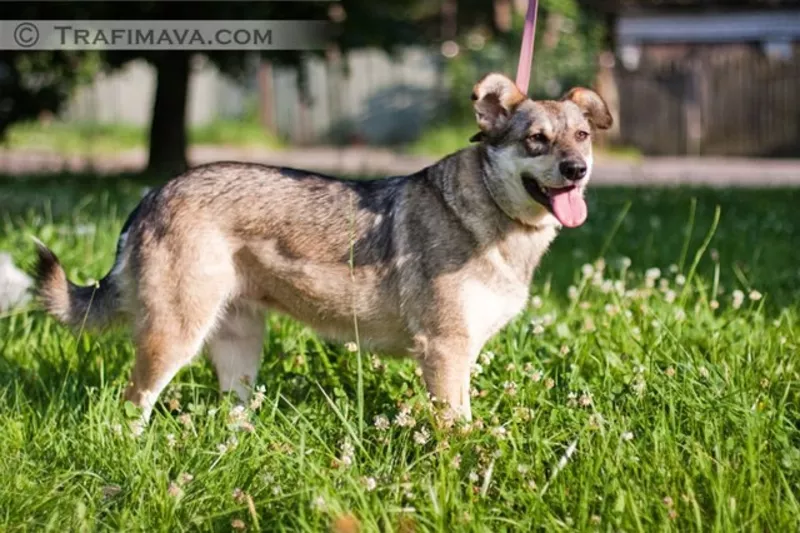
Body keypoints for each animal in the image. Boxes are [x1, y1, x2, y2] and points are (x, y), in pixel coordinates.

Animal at [34, 72, 612, 422]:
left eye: (582, 136)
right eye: (535, 140)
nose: (577, 171)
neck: (493, 219)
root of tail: (152, 195)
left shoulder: (460, 355)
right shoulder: (444, 352)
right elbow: (459, 433)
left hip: (238, 350)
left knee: (231, 414)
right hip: (173, 339)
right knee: (132, 405)